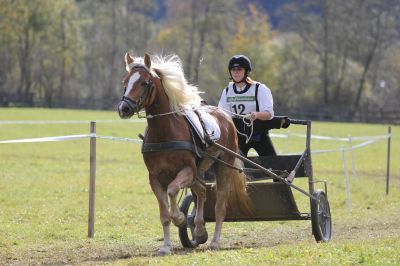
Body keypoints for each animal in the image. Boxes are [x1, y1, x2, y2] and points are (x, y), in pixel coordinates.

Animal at [117, 52, 252, 256]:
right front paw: (166, 246)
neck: (165, 132)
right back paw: (200, 231)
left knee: (220, 205)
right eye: (125, 81)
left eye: (144, 82)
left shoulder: (187, 171)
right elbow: (164, 214)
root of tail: (226, 117)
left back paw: (214, 241)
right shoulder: (155, 178)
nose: (124, 108)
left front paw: (180, 218)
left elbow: (173, 191)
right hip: (199, 172)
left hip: (222, 168)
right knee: (202, 191)